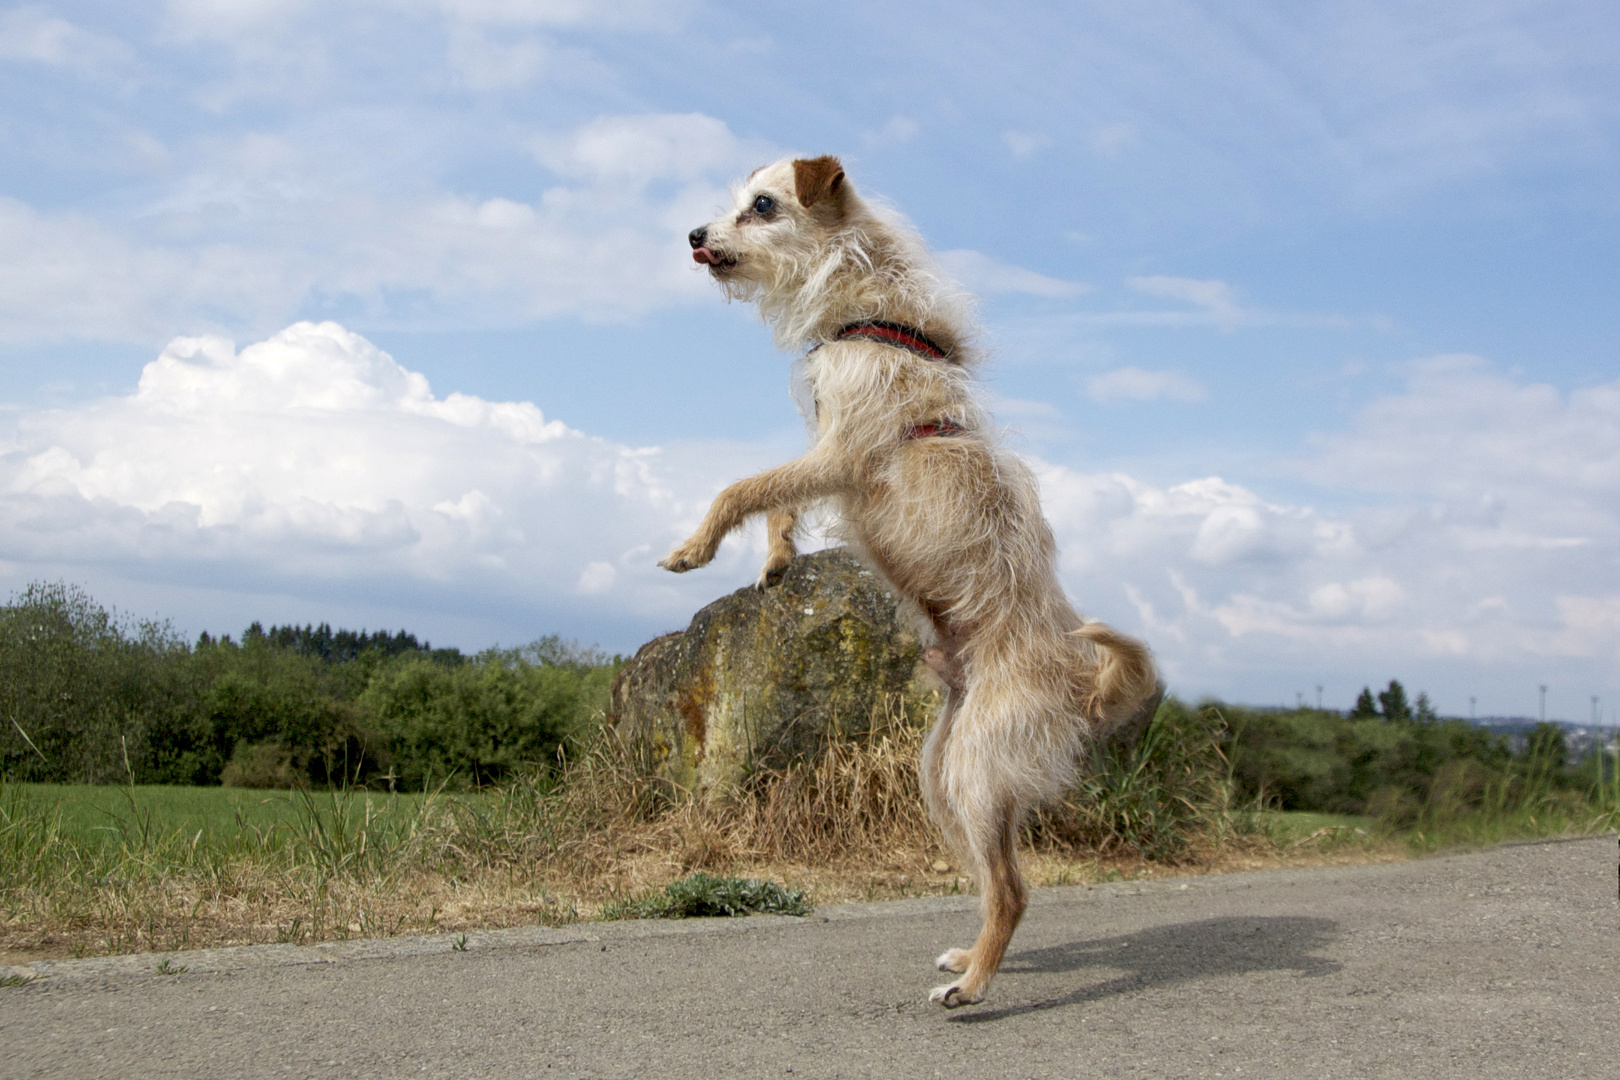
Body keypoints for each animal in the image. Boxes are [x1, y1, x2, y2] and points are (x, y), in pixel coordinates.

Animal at [657, 156, 1166, 1010]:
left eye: (763, 206)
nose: (694, 235)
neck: (866, 306)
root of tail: (1081, 682)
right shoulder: (824, 450)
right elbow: (776, 496)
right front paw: (776, 557)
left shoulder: (841, 453)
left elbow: (742, 485)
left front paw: (695, 546)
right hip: (944, 777)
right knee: (998, 880)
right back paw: (969, 957)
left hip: (976, 771)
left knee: (1015, 890)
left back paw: (975, 987)